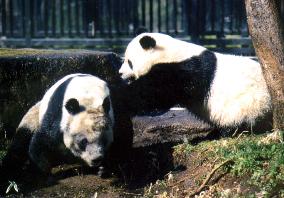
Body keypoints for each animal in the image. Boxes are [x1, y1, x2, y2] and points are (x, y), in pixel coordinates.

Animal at [118, 32, 272, 133]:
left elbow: (154, 94)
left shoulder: (183, 70)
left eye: (129, 62)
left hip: (251, 103)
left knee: (244, 120)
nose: (120, 73)